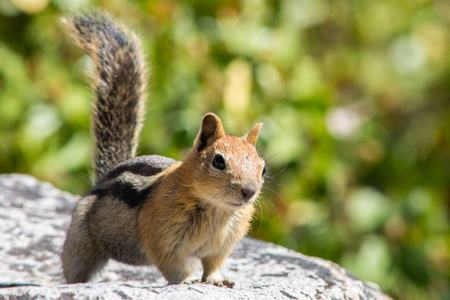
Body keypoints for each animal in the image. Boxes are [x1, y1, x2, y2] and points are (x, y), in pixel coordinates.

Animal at [59, 12, 264, 288]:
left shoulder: (220, 247)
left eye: (263, 169)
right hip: (80, 238)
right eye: (218, 162)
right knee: (75, 268)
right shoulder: (161, 237)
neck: (216, 210)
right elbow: (172, 265)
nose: (249, 191)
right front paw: (185, 281)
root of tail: (104, 177)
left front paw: (218, 280)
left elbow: (213, 264)